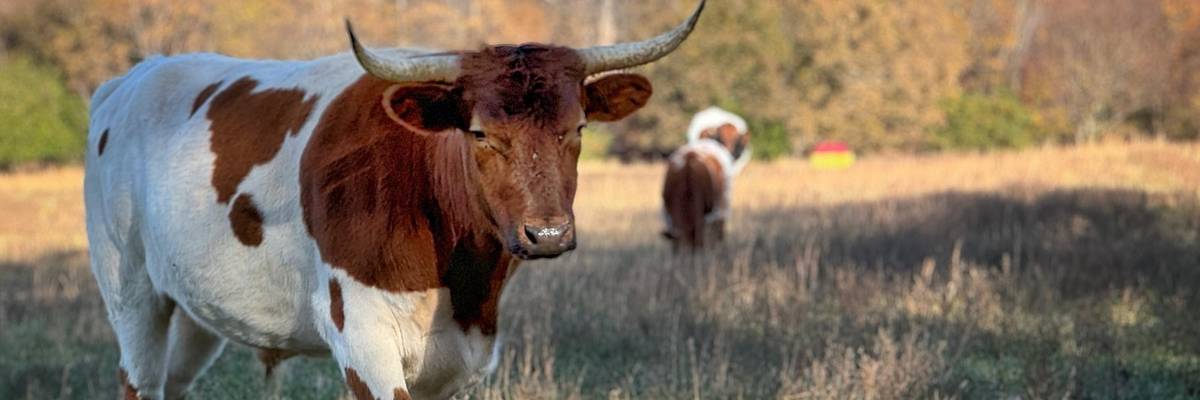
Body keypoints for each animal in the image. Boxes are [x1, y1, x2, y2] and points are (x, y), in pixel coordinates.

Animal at [83, 2, 705, 399]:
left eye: (577, 127)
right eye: (479, 133)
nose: (547, 234)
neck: (459, 282)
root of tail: (131, 79)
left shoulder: (458, 358)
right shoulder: (364, 341)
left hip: (196, 310)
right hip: (130, 291)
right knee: (139, 379)